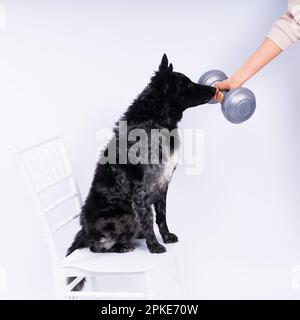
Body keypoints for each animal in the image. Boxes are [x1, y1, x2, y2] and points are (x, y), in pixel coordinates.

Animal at [67, 54, 214, 290]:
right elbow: (148, 220)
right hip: (121, 216)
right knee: (96, 246)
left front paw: (165, 237)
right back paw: (122, 246)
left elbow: (161, 217)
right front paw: (154, 246)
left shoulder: (162, 184)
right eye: (188, 84)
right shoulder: (142, 191)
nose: (214, 89)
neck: (153, 119)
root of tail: (83, 231)